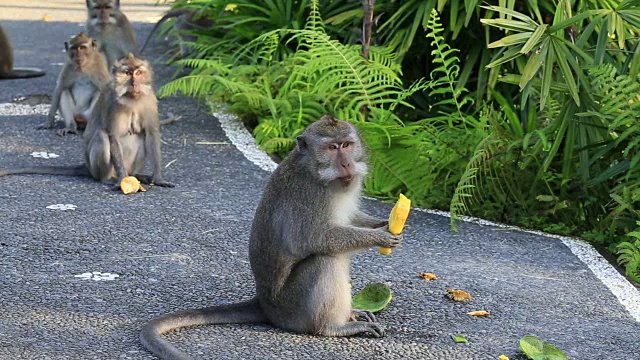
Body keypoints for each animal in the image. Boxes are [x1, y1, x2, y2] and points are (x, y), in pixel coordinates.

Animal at [0, 54, 174, 190]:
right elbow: (113, 136)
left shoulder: (150, 101)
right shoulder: (113, 104)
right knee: (102, 136)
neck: (132, 100)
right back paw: (109, 178)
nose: (134, 83)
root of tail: (87, 167)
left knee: (140, 136)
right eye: (127, 73)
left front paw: (158, 178)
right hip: (95, 167)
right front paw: (122, 180)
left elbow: (151, 134)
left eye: (138, 72)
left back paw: (137, 175)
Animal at [140, 115, 400, 360]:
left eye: (346, 145)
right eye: (332, 148)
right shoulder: (309, 195)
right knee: (324, 261)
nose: (346, 163)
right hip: (292, 307)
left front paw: (383, 224)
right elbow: (315, 239)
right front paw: (379, 237)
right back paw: (333, 327)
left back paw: (351, 313)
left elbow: (350, 218)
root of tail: (264, 303)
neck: (317, 171)